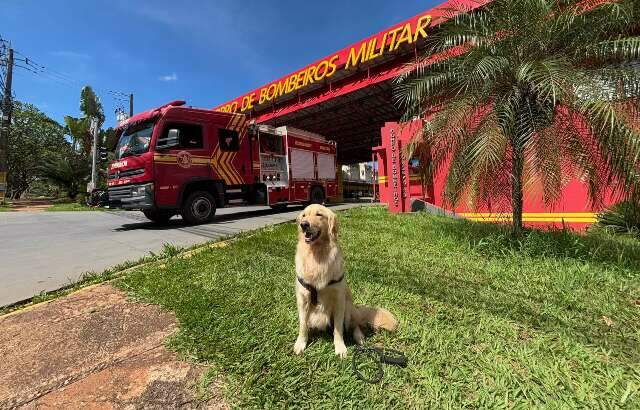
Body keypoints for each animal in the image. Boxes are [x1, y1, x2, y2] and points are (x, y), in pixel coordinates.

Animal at [294, 203, 396, 358]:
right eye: (304, 215)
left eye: (319, 214)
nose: (304, 225)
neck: (317, 255)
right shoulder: (303, 298)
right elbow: (303, 326)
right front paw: (301, 343)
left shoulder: (339, 300)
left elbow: (338, 328)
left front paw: (340, 347)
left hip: (348, 307)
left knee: (355, 325)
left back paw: (359, 337)